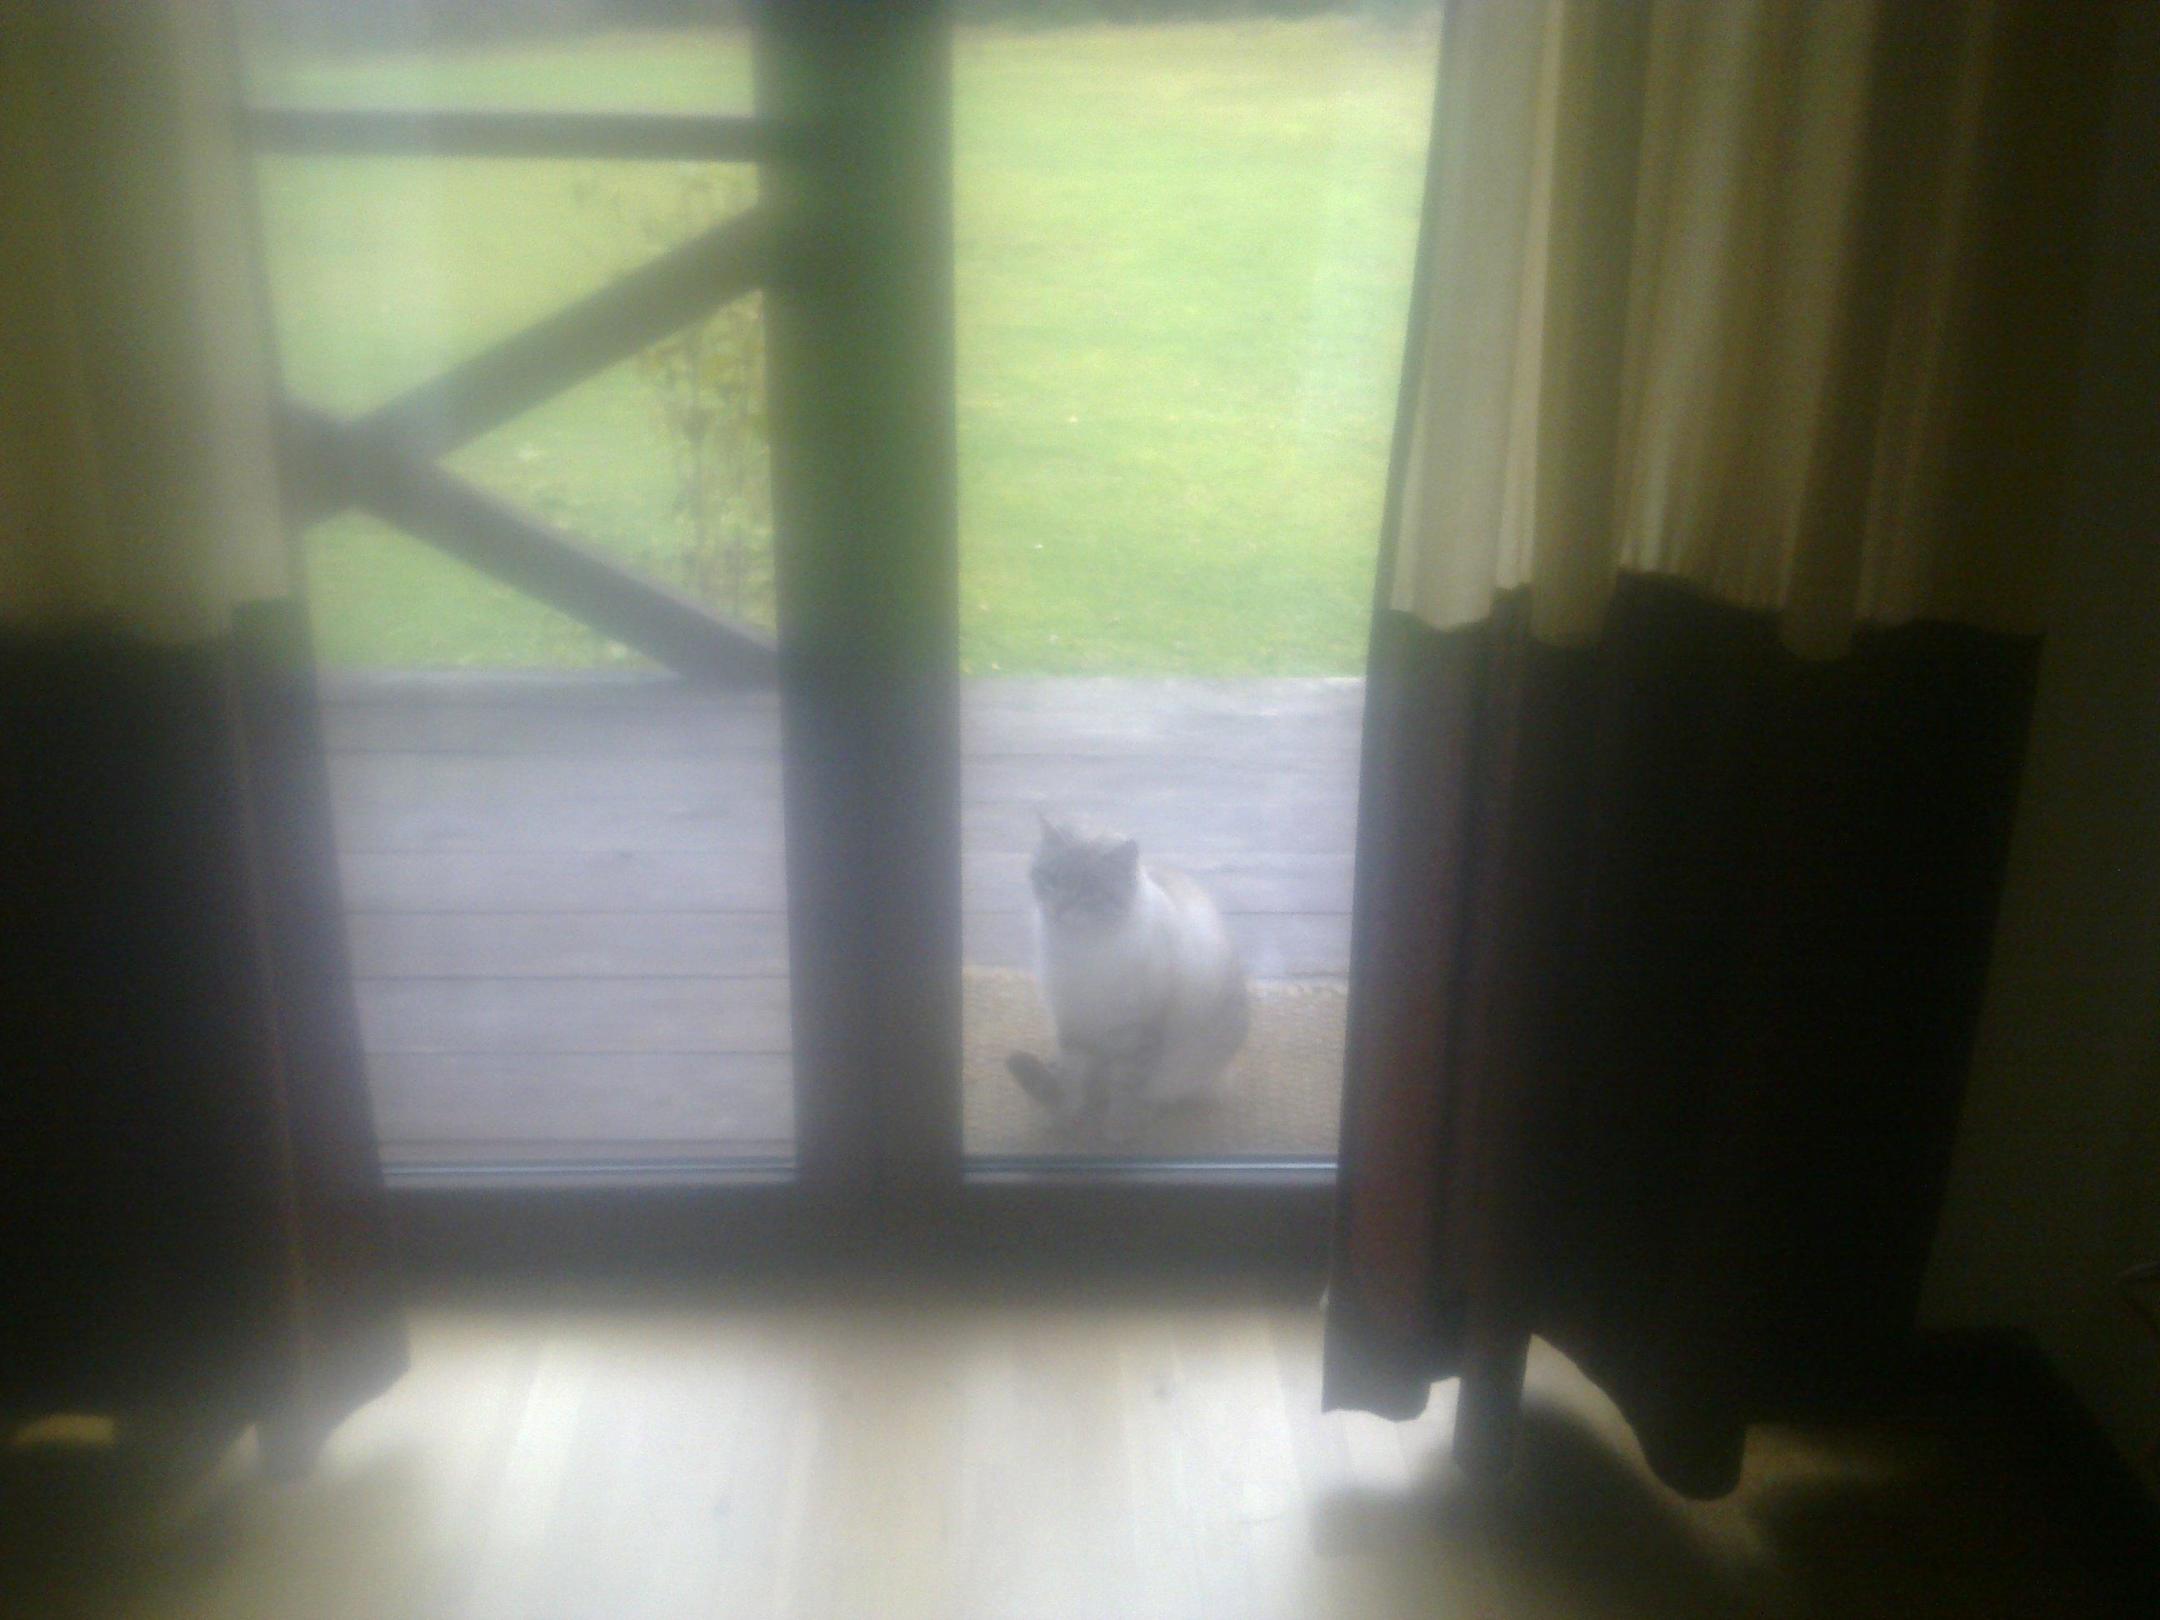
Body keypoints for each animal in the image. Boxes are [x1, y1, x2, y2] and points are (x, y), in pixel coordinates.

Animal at [1007, 815, 1249, 1139]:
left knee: (1156, 1093)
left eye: (1088, 890)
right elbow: (1073, 1078)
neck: (1080, 948)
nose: (1058, 908)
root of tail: (1221, 1076)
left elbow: (1126, 1085)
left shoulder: (1137, 1031)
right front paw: (1066, 1117)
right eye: (1051, 879)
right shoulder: (1071, 1019)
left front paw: (1118, 1129)